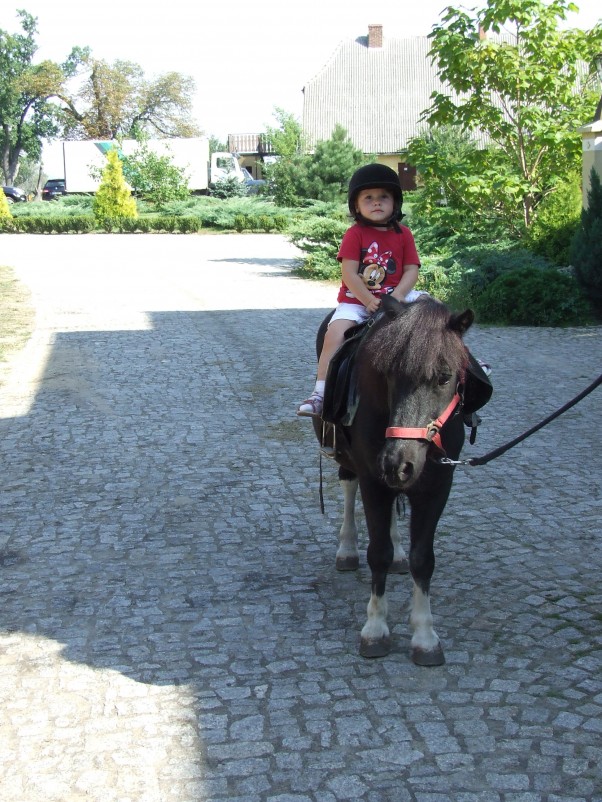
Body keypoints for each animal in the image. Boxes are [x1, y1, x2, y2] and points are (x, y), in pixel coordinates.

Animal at [312, 294, 472, 664]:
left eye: (445, 378)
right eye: (387, 374)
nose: (398, 460)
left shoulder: (439, 485)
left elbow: (422, 559)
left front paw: (425, 636)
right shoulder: (374, 479)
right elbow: (378, 553)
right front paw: (375, 630)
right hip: (352, 462)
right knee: (349, 486)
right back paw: (347, 549)